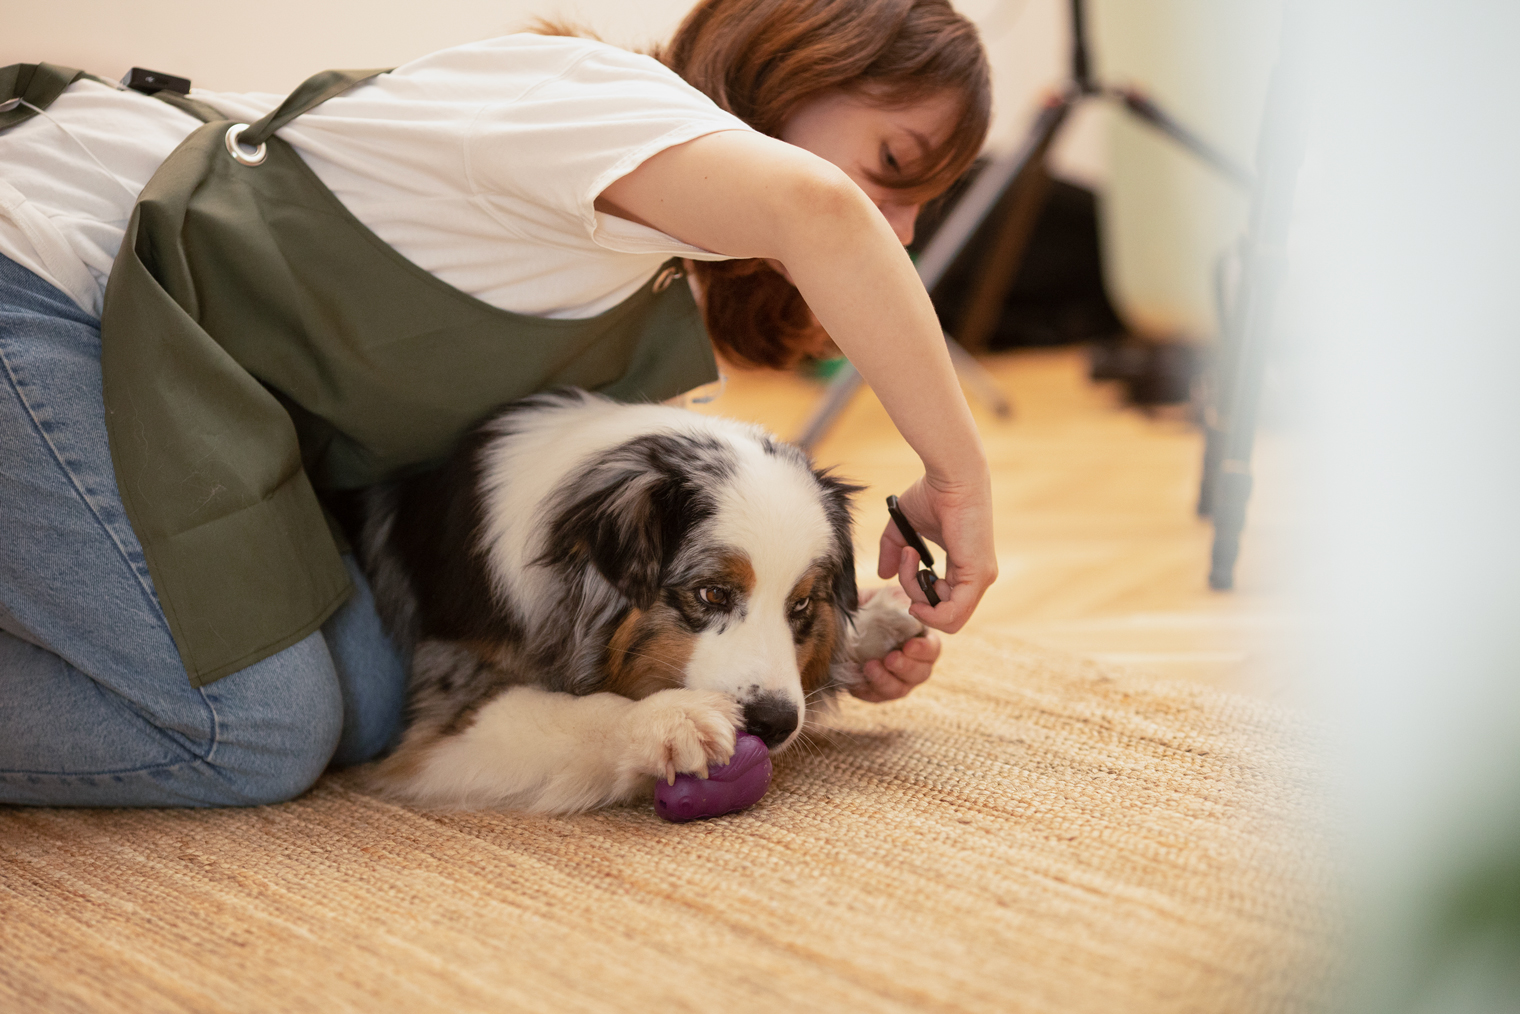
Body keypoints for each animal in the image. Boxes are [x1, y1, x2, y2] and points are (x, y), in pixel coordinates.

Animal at [352, 392, 924, 814]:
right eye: (712, 592)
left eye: (802, 603)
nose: (775, 722)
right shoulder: (442, 712)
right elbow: (574, 709)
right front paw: (670, 719)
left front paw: (882, 625)